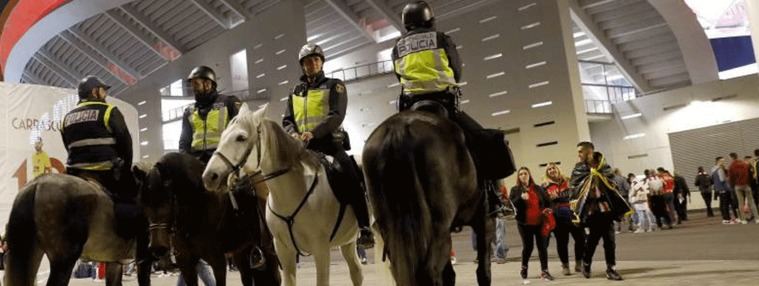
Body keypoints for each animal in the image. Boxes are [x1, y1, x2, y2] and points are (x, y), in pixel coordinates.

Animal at [134, 152, 282, 286]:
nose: (158, 248)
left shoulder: (217, 261)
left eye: (168, 199)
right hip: (241, 251)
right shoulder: (186, 263)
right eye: (143, 202)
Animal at [202, 104, 362, 286]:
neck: (294, 193)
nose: (209, 176)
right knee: (356, 272)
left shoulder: (321, 250)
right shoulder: (283, 251)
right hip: (348, 241)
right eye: (222, 136)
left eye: (241, 137)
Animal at [364, 110, 498, 286]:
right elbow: (483, 272)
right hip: (438, 228)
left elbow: (450, 275)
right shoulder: (484, 220)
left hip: (390, 229)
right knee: (429, 272)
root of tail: (397, 129)